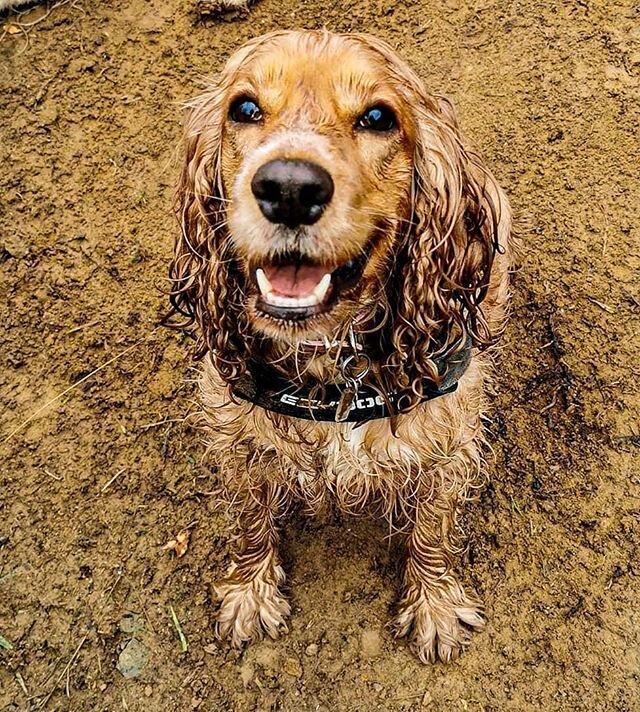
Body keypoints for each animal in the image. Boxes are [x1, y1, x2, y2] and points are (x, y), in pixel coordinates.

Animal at [169, 27, 516, 660]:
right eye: (245, 108)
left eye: (378, 117)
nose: (288, 187)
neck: (333, 366)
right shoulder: (237, 437)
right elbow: (250, 519)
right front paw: (250, 594)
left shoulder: (447, 444)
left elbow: (431, 530)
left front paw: (434, 608)